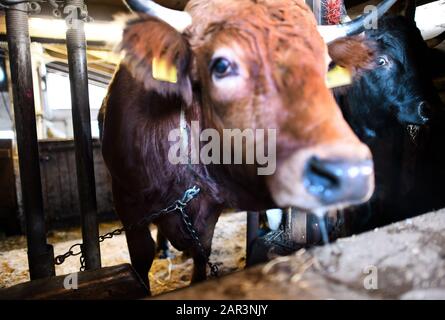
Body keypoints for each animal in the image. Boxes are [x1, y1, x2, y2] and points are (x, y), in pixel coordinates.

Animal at [100, 0, 396, 292]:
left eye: (325, 67)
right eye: (221, 66)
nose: (349, 173)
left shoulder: (209, 210)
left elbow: (202, 252)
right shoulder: (127, 205)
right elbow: (141, 257)